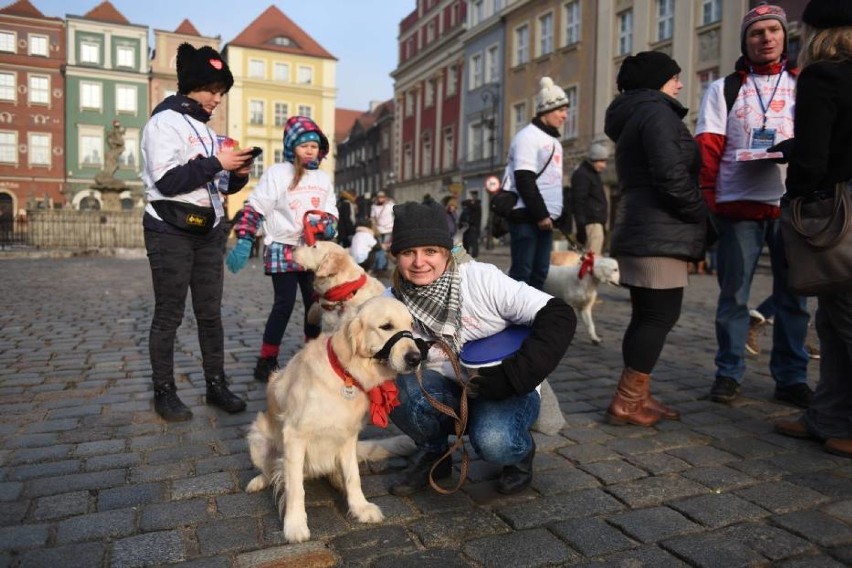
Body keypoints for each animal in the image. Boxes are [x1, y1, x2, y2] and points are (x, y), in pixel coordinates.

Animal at [243, 296, 422, 544]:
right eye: (386, 326)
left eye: (411, 326)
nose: (416, 358)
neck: (346, 375)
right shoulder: (294, 436)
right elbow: (295, 487)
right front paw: (295, 524)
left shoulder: (348, 436)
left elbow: (353, 477)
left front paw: (360, 508)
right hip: (257, 437)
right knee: (271, 471)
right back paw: (260, 480)